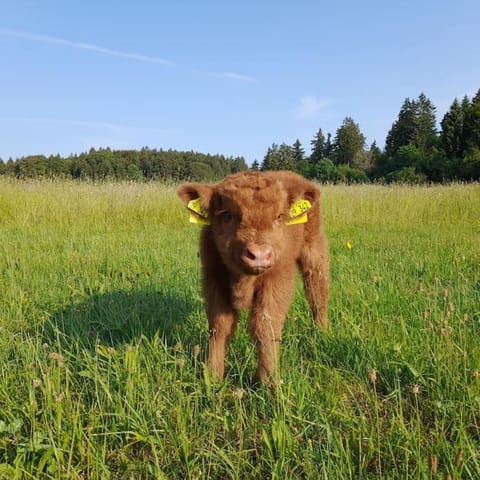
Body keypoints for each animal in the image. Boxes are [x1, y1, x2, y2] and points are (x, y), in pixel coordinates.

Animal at [177, 171, 330, 384]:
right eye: (227, 215)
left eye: (279, 217)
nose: (259, 254)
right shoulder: (214, 279)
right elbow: (219, 325)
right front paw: (213, 375)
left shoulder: (278, 279)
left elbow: (265, 326)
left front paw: (268, 380)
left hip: (314, 251)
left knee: (317, 291)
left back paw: (321, 333)